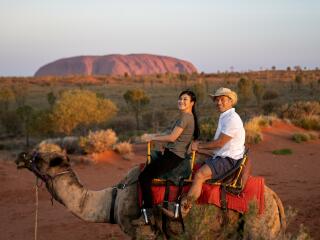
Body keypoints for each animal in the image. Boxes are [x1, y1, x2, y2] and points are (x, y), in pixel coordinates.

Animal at [15, 143, 286, 239]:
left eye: (44, 159)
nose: (21, 157)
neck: (113, 199)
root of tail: (275, 199)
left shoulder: (142, 231)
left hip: (258, 228)